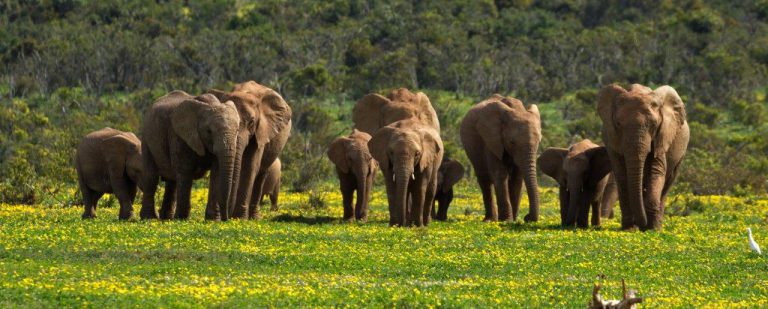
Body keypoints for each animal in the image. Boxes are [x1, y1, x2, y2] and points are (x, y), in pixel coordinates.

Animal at [139, 90, 240, 220]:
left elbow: (216, 173)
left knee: (172, 182)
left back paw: (166, 219)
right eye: (209, 131)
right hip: (146, 138)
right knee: (151, 177)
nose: (226, 219)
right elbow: (185, 171)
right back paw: (149, 218)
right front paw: (181, 219)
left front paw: (212, 220)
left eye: (237, 130)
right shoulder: (179, 135)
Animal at [207, 79, 292, 219]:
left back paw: (254, 217)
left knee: (261, 174)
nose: (228, 217)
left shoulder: (261, 130)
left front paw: (240, 218)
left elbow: (250, 166)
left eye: (251, 122)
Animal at [596, 83, 692, 230]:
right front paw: (629, 229)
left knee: (667, 184)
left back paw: (656, 226)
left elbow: (655, 172)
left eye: (654, 125)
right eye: (618, 124)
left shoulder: (662, 137)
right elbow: (622, 175)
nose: (643, 225)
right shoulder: (611, 139)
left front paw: (651, 229)